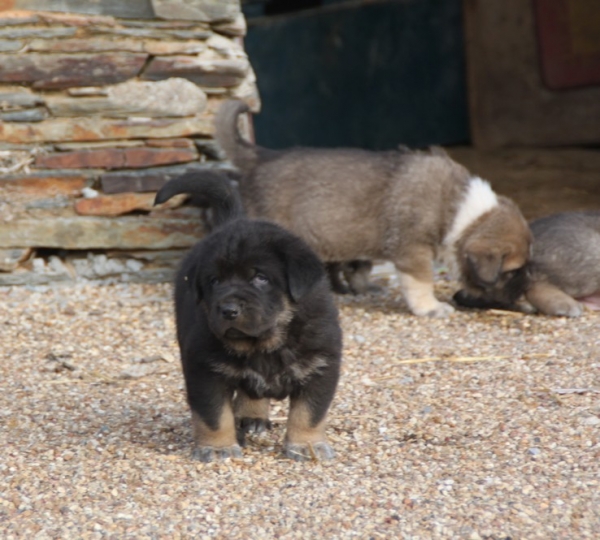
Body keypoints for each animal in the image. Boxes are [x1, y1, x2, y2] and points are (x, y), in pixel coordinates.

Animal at [155, 171, 342, 462]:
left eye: (261, 278)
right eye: (214, 281)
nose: (228, 310)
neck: (266, 342)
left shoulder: (320, 365)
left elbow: (309, 413)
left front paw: (306, 445)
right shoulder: (204, 369)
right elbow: (213, 415)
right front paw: (217, 448)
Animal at [212, 100, 528, 316]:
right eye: (511, 271)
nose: (525, 298)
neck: (462, 212)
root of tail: (260, 157)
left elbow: (360, 266)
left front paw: (364, 288)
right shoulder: (412, 249)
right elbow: (421, 281)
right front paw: (430, 307)